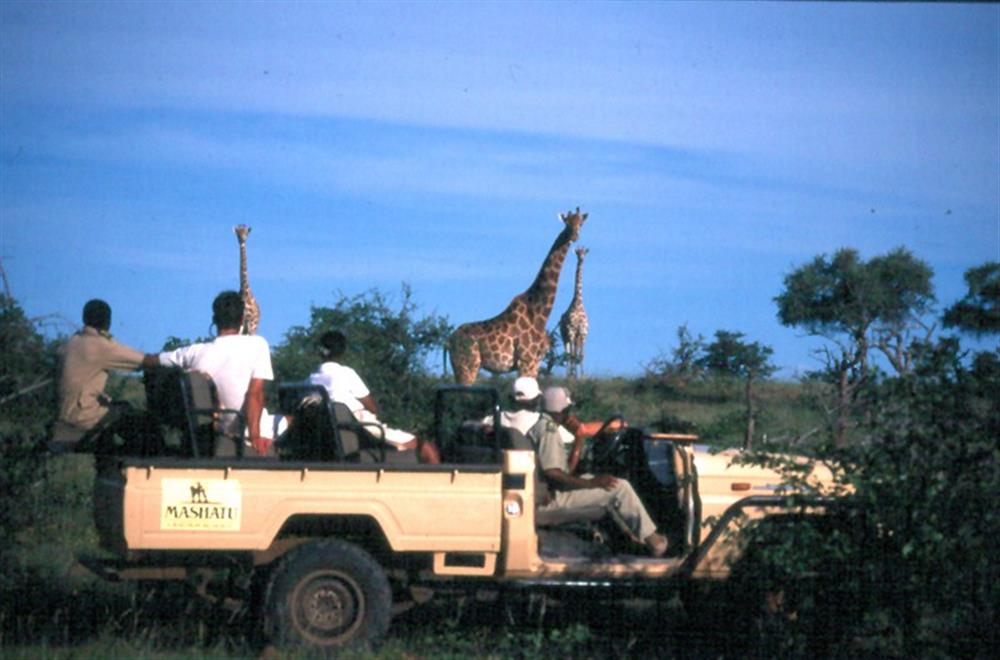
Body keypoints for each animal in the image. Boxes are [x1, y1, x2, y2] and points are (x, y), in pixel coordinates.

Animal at [448, 208, 584, 386]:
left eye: (580, 223)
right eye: (567, 223)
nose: (574, 236)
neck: (540, 313)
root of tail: (449, 341)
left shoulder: (534, 363)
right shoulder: (526, 361)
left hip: (462, 368)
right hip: (468, 367)